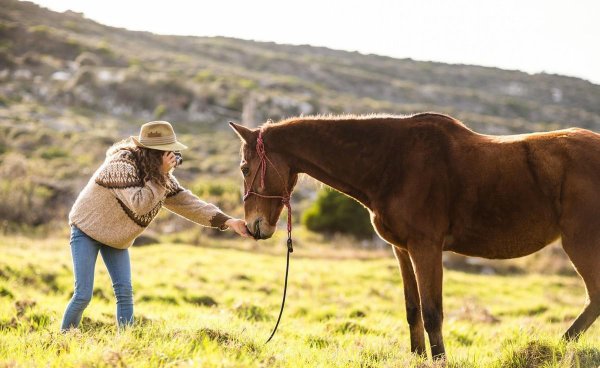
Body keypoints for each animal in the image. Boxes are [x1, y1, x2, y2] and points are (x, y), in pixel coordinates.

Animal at [229, 113, 600, 360]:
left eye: (245, 168)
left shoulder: (426, 248)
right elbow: (413, 309)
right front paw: (419, 357)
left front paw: (439, 359)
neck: (392, 162)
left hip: (581, 243)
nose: (254, 226)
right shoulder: (403, 250)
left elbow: (433, 311)